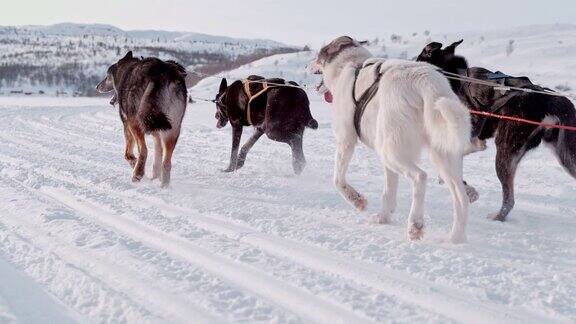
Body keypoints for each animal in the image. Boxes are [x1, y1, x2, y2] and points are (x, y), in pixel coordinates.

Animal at [96, 50, 187, 187]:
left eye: (107, 76)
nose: (97, 87)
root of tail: (160, 72)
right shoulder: (157, 132)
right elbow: (158, 154)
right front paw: (155, 175)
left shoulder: (127, 124)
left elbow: (128, 153)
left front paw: (133, 162)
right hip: (173, 129)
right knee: (166, 162)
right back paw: (164, 185)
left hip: (135, 123)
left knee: (143, 150)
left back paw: (137, 173)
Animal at [312, 36, 474, 243]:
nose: (309, 64)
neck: (350, 65)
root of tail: (424, 81)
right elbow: (388, 192)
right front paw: (384, 217)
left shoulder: (345, 140)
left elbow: (338, 180)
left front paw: (357, 200)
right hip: (442, 156)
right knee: (461, 198)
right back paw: (455, 238)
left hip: (390, 152)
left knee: (420, 177)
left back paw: (415, 224)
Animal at [418, 40, 576, 221]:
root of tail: (550, 99)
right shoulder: (473, 142)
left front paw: (467, 190)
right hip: (565, 156)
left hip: (504, 152)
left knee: (509, 199)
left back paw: (497, 217)